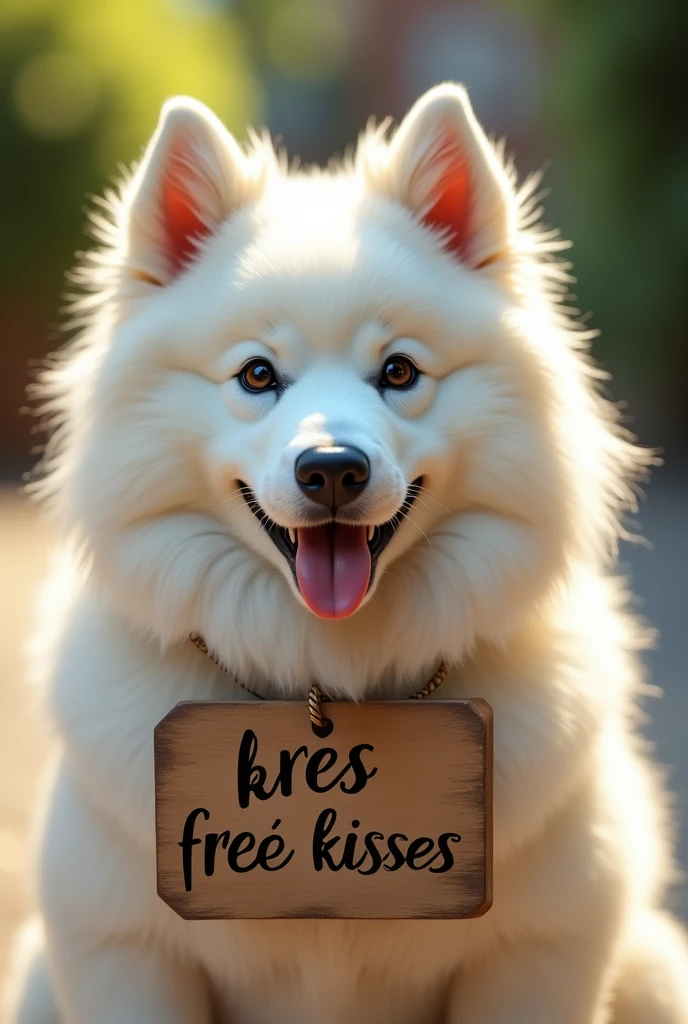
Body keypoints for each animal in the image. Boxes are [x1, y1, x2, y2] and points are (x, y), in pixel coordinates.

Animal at [5, 86, 688, 1024]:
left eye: (398, 372)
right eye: (258, 376)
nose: (331, 468)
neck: (328, 673)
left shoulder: (536, 952)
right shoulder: (124, 952)